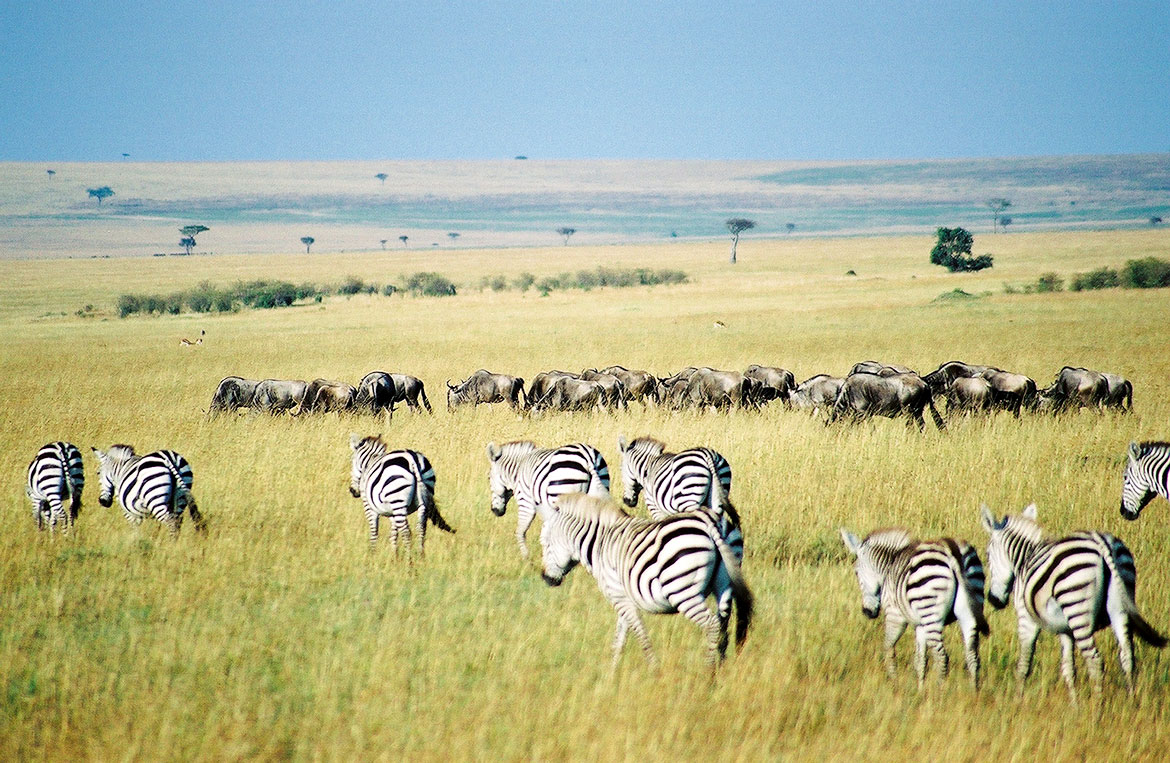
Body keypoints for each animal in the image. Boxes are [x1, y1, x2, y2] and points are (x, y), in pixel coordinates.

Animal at [540, 491, 758, 669]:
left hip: (683, 591)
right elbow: (620, 638)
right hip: (725, 583)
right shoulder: (624, 597)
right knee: (723, 625)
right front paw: (612, 675)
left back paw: (708, 673)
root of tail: (708, 520)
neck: (600, 542)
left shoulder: (618, 596)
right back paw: (720, 670)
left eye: (545, 543)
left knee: (712, 624)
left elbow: (639, 634)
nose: (546, 579)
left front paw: (654, 670)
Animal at [837, 526, 992, 688]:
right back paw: (973, 691)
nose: (867, 612)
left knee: (941, 657)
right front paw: (920, 690)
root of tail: (951, 549)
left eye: (856, 573)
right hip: (969, 609)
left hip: (931, 612)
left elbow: (888, 647)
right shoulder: (919, 624)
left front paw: (894, 683)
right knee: (972, 656)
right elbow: (920, 660)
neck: (889, 564)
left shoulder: (894, 615)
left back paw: (940, 691)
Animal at [982, 503, 1165, 702]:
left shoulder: (1027, 619)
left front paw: (1018, 701)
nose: (993, 600)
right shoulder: (1065, 628)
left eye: (987, 555)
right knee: (1127, 657)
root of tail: (1102, 543)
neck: (1025, 558)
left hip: (1077, 608)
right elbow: (1069, 668)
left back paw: (1097, 707)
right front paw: (1074, 704)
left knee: (1095, 660)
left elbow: (1024, 663)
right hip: (1120, 606)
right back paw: (1132, 702)